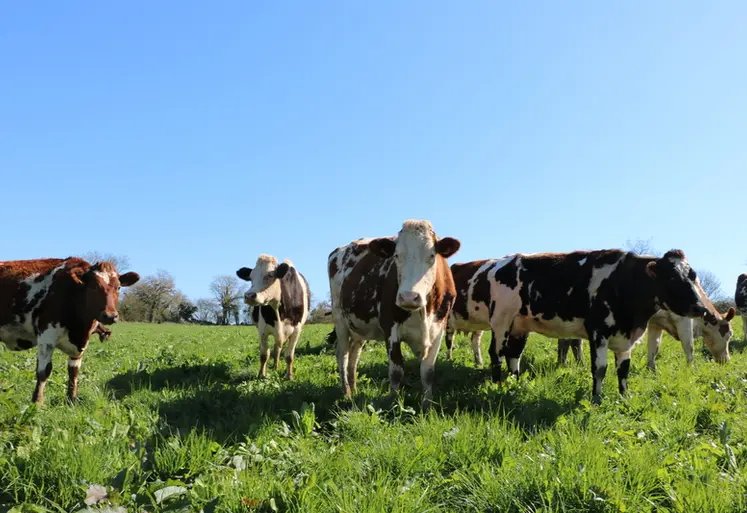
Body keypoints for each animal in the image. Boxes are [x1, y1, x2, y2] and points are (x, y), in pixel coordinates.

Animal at [0, 257, 140, 405]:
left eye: (118, 287)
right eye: (93, 286)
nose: (110, 316)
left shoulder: (81, 344)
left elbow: (74, 372)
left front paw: (71, 399)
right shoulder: (46, 337)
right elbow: (44, 371)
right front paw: (37, 402)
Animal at [327, 220, 461, 409]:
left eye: (432, 255)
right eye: (396, 255)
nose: (409, 297)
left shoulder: (439, 330)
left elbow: (428, 371)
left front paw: (427, 404)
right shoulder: (390, 329)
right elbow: (396, 371)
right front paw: (394, 403)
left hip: (359, 327)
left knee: (354, 356)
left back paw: (354, 388)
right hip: (340, 320)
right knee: (343, 355)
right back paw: (346, 392)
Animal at [480, 249, 716, 400]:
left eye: (693, 277)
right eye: (672, 278)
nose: (700, 308)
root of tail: (501, 262)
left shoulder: (625, 336)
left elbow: (623, 369)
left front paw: (625, 396)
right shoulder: (598, 332)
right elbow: (600, 368)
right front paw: (597, 398)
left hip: (520, 325)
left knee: (513, 354)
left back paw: (515, 382)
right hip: (501, 320)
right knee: (496, 353)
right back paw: (498, 385)